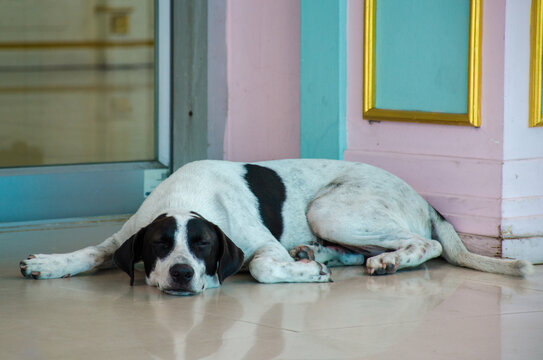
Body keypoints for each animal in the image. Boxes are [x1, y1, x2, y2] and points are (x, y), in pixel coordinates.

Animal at [20, 160, 532, 296]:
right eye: (160, 244)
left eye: (203, 245)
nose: (182, 275)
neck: (188, 197)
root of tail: (425, 200)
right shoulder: (125, 235)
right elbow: (93, 251)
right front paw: (48, 263)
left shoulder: (260, 249)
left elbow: (264, 268)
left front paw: (306, 275)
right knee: (355, 251)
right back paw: (317, 254)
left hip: (329, 209)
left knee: (425, 243)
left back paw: (386, 261)